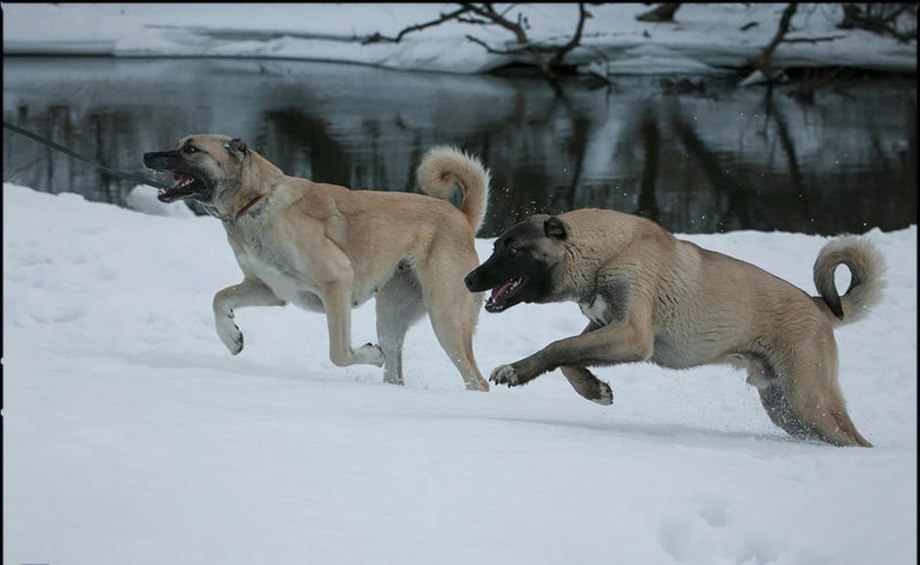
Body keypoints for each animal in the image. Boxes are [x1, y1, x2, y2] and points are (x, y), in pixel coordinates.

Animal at [143, 134, 491, 391]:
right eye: (179, 143)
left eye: (191, 149)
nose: (146, 155)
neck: (256, 202)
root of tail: (461, 218)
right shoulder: (268, 289)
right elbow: (219, 298)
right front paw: (231, 337)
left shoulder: (336, 281)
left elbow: (339, 353)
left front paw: (368, 354)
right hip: (392, 315)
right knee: (396, 368)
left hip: (445, 316)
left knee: (477, 380)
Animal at [464, 209, 885, 447]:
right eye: (496, 245)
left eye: (512, 249)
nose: (469, 280)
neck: (608, 252)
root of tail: (818, 305)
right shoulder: (603, 325)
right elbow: (569, 358)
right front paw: (595, 390)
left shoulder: (632, 335)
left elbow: (557, 347)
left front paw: (516, 371)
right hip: (786, 408)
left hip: (807, 400)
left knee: (855, 440)